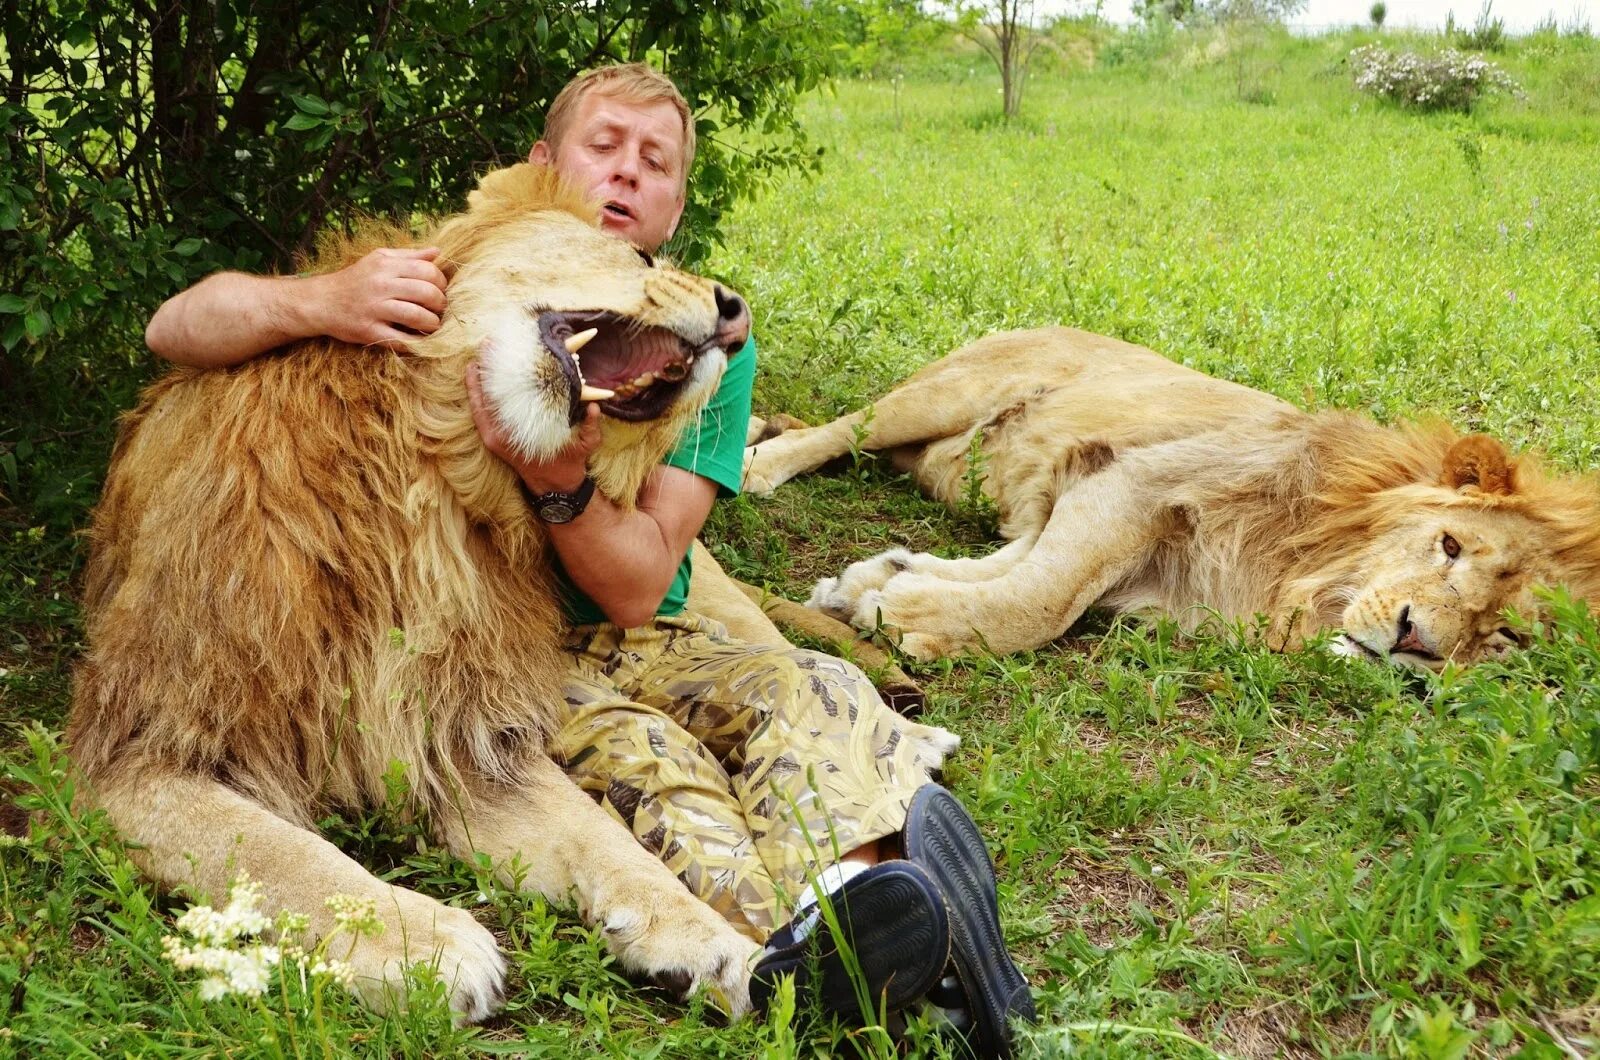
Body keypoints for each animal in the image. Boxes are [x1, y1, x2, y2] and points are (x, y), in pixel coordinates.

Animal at [742, 328, 1600, 669]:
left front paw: (881, 583)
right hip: (942, 395)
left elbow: (1020, 571)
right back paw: (755, 465)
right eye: (1450, 546)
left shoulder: (1101, 511)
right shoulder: (1136, 482)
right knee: (839, 428)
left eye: (1502, 635)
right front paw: (902, 613)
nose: (1415, 641)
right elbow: (1042, 599)